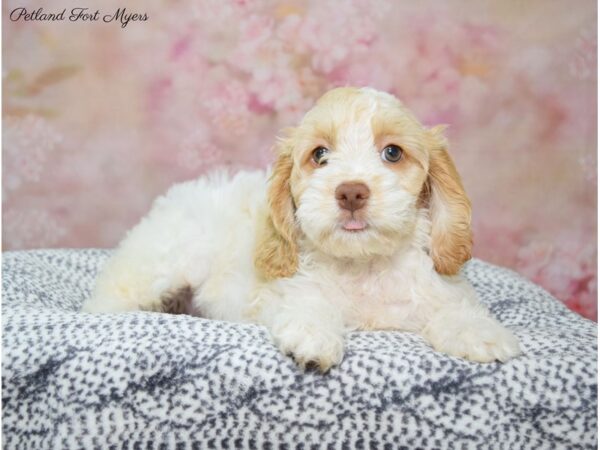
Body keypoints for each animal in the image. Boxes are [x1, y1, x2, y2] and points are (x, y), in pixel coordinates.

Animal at [83, 87, 520, 370]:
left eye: (393, 153)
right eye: (320, 154)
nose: (351, 192)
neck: (365, 264)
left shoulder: (439, 288)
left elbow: (452, 306)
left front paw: (479, 332)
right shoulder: (282, 291)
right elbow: (309, 303)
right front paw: (315, 338)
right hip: (157, 265)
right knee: (109, 298)